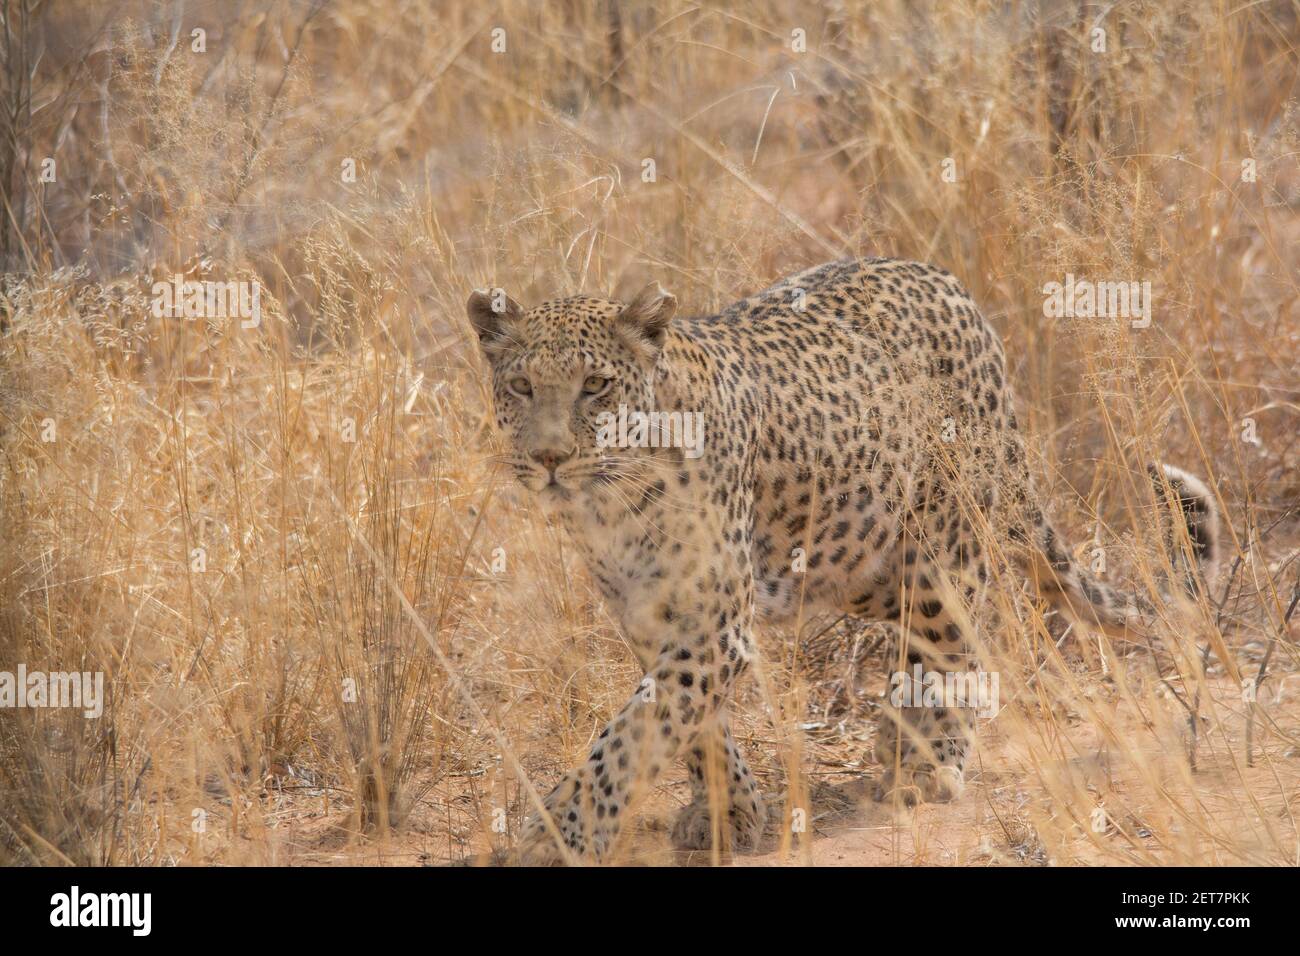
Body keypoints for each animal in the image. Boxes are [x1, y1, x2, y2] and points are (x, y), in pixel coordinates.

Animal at [467, 256, 1216, 868]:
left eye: (595, 385)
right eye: (522, 386)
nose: (549, 458)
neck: (610, 499)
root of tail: (958, 293)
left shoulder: (712, 624)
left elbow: (628, 738)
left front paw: (557, 832)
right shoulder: (654, 616)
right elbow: (688, 723)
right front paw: (730, 811)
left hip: (943, 544)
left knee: (955, 642)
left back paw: (927, 764)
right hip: (860, 559)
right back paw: (894, 738)